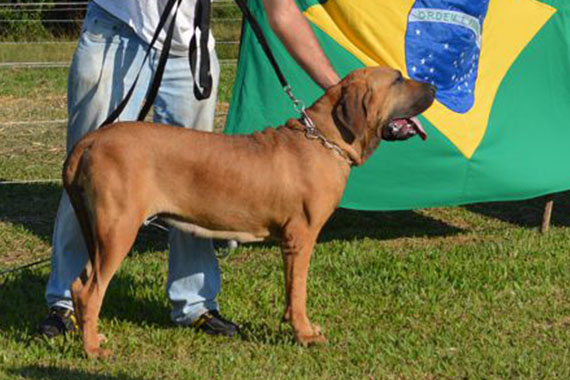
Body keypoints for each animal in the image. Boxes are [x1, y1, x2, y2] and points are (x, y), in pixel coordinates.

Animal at [63, 67, 434, 358]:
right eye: (398, 79)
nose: (433, 87)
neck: (325, 139)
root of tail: (91, 140)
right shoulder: (300, 238)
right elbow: (298, 291)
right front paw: (304, 334)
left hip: (99, 234)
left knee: (79, 284)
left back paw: (92, 337)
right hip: (118, 231)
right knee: (91, 291)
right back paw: (92, 350)